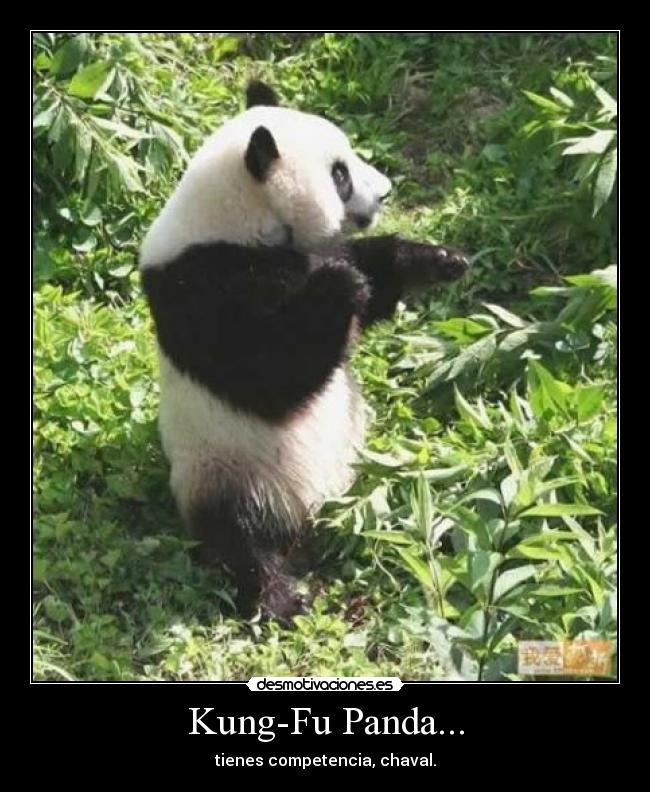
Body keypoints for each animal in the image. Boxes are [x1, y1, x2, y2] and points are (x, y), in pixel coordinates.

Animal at [139, 81, 469, 622]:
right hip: (225, 469)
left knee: (405, 502)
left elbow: (371, 277)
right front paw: (339, 287)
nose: (385, 191)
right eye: (339, 175)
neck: (239, 218)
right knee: (239, 539)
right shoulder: (202, 286)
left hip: (364, 477)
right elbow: (266, 374)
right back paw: (281, 597)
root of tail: (310, 519)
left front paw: (437, 260)